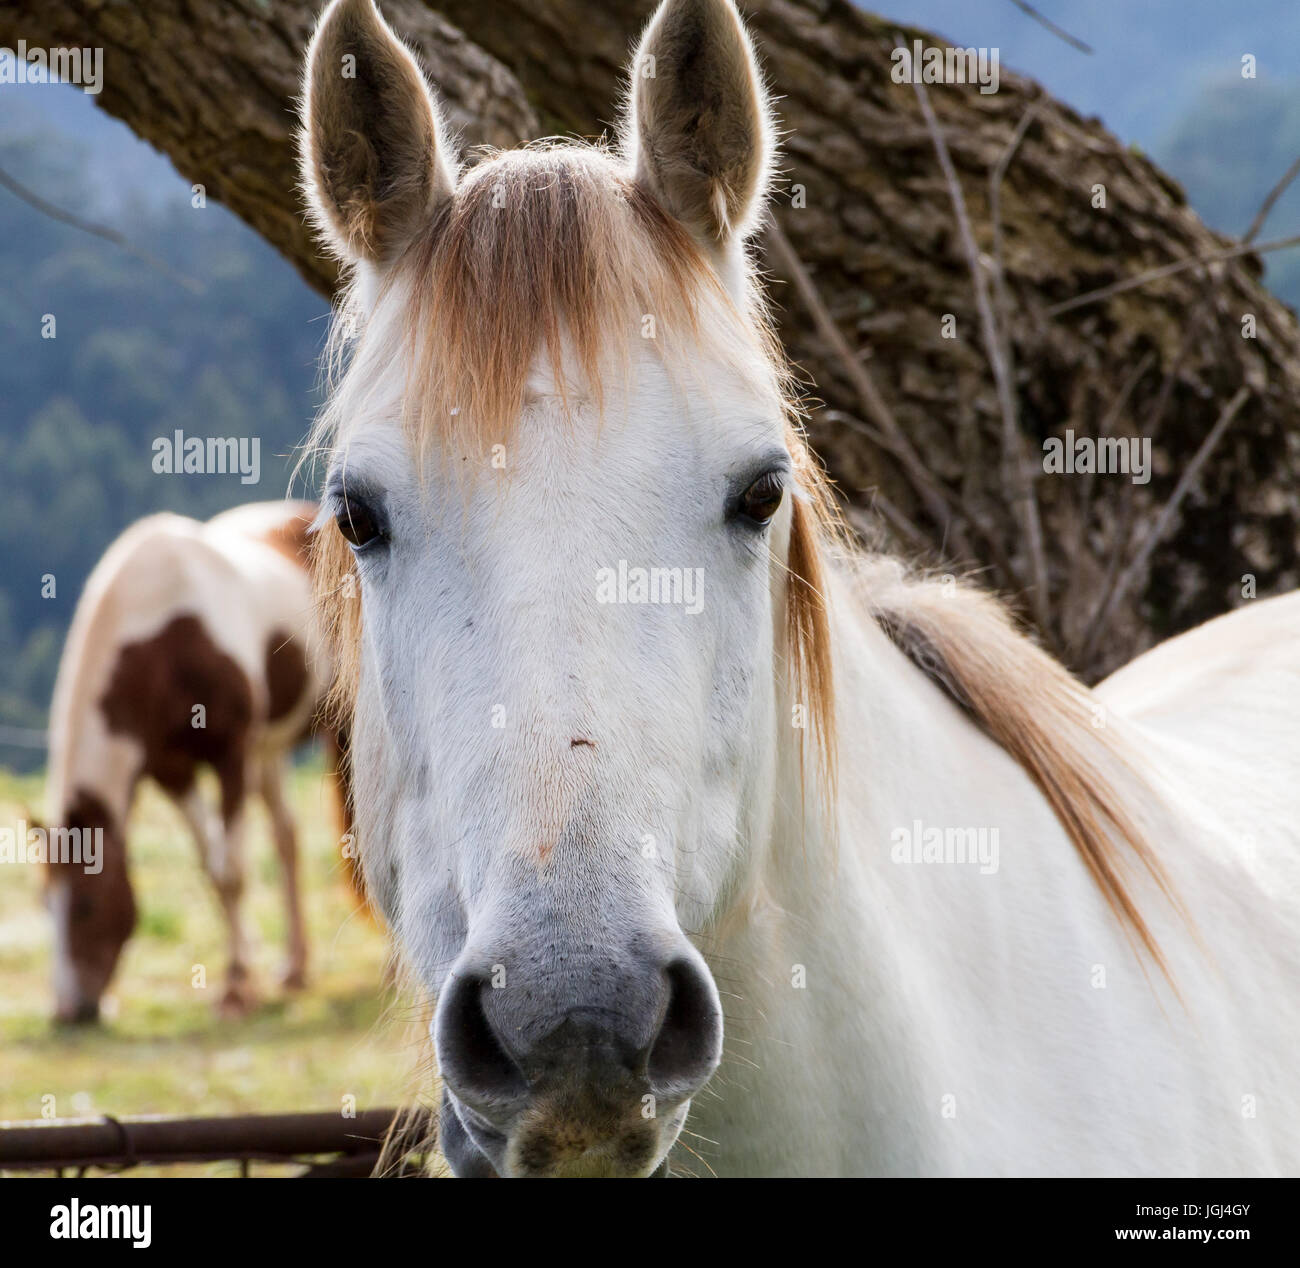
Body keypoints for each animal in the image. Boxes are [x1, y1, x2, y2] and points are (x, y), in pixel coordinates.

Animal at [45, 501, 351, 1024]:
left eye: (85, 905)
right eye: (45, 905)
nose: (69, 1011)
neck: (163, 636)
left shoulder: (230, 756)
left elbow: (233, 871)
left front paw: (237, 988)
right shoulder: (173, 772)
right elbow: (213, 869)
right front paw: (243, 971)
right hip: (269, 750)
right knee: (286, 837)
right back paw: (294, 967)